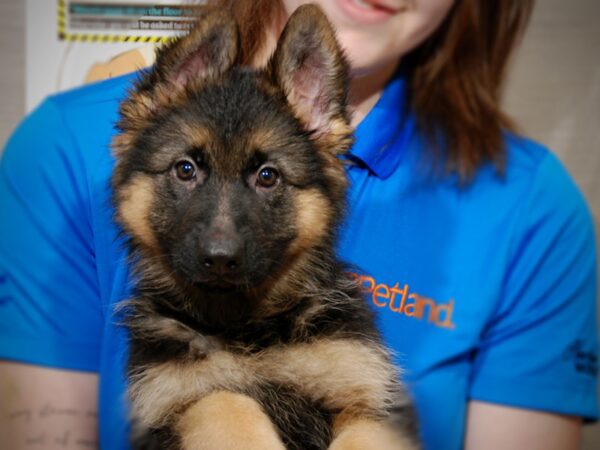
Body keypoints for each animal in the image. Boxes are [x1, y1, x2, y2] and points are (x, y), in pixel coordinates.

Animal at [112, 4, 420, 450]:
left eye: (268, 176)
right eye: (185, 170)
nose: (219, 259)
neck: (248, 327)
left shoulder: (369, 403)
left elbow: (362, 435)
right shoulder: (178, 398)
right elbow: (223, 401)